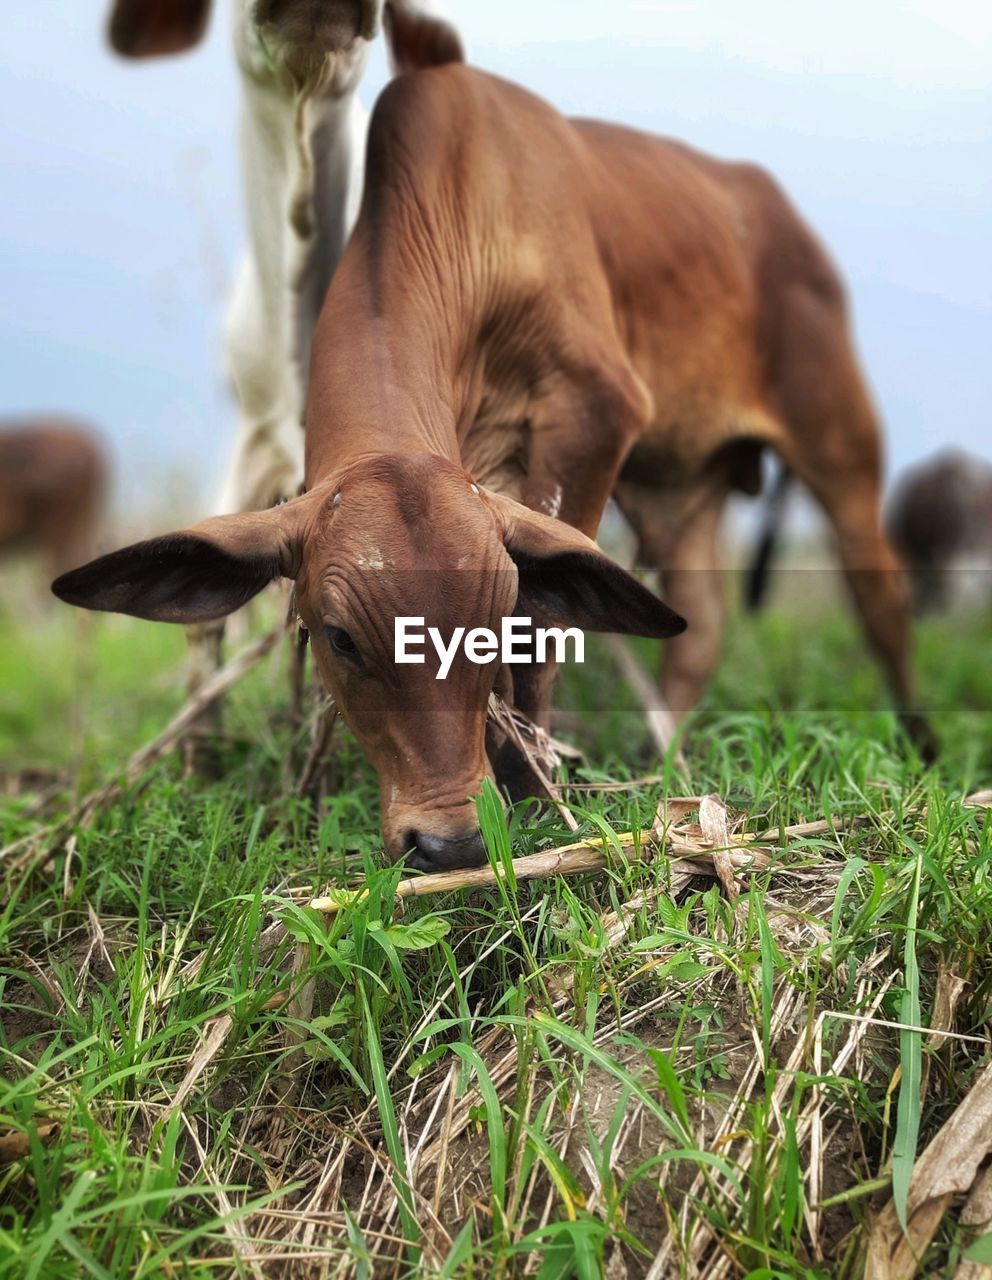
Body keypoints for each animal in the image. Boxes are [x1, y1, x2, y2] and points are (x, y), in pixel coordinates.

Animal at [56, 67, 931, 870]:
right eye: (339, 638)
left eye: (488, 627)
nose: (450, 844)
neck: (462, 225)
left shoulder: (597, 415)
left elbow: (542, 634)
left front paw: (534, 786)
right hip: (682, 487)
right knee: (700, 624)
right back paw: (664, 772)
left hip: (838, 441)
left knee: (880, 596)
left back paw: (920, 746)